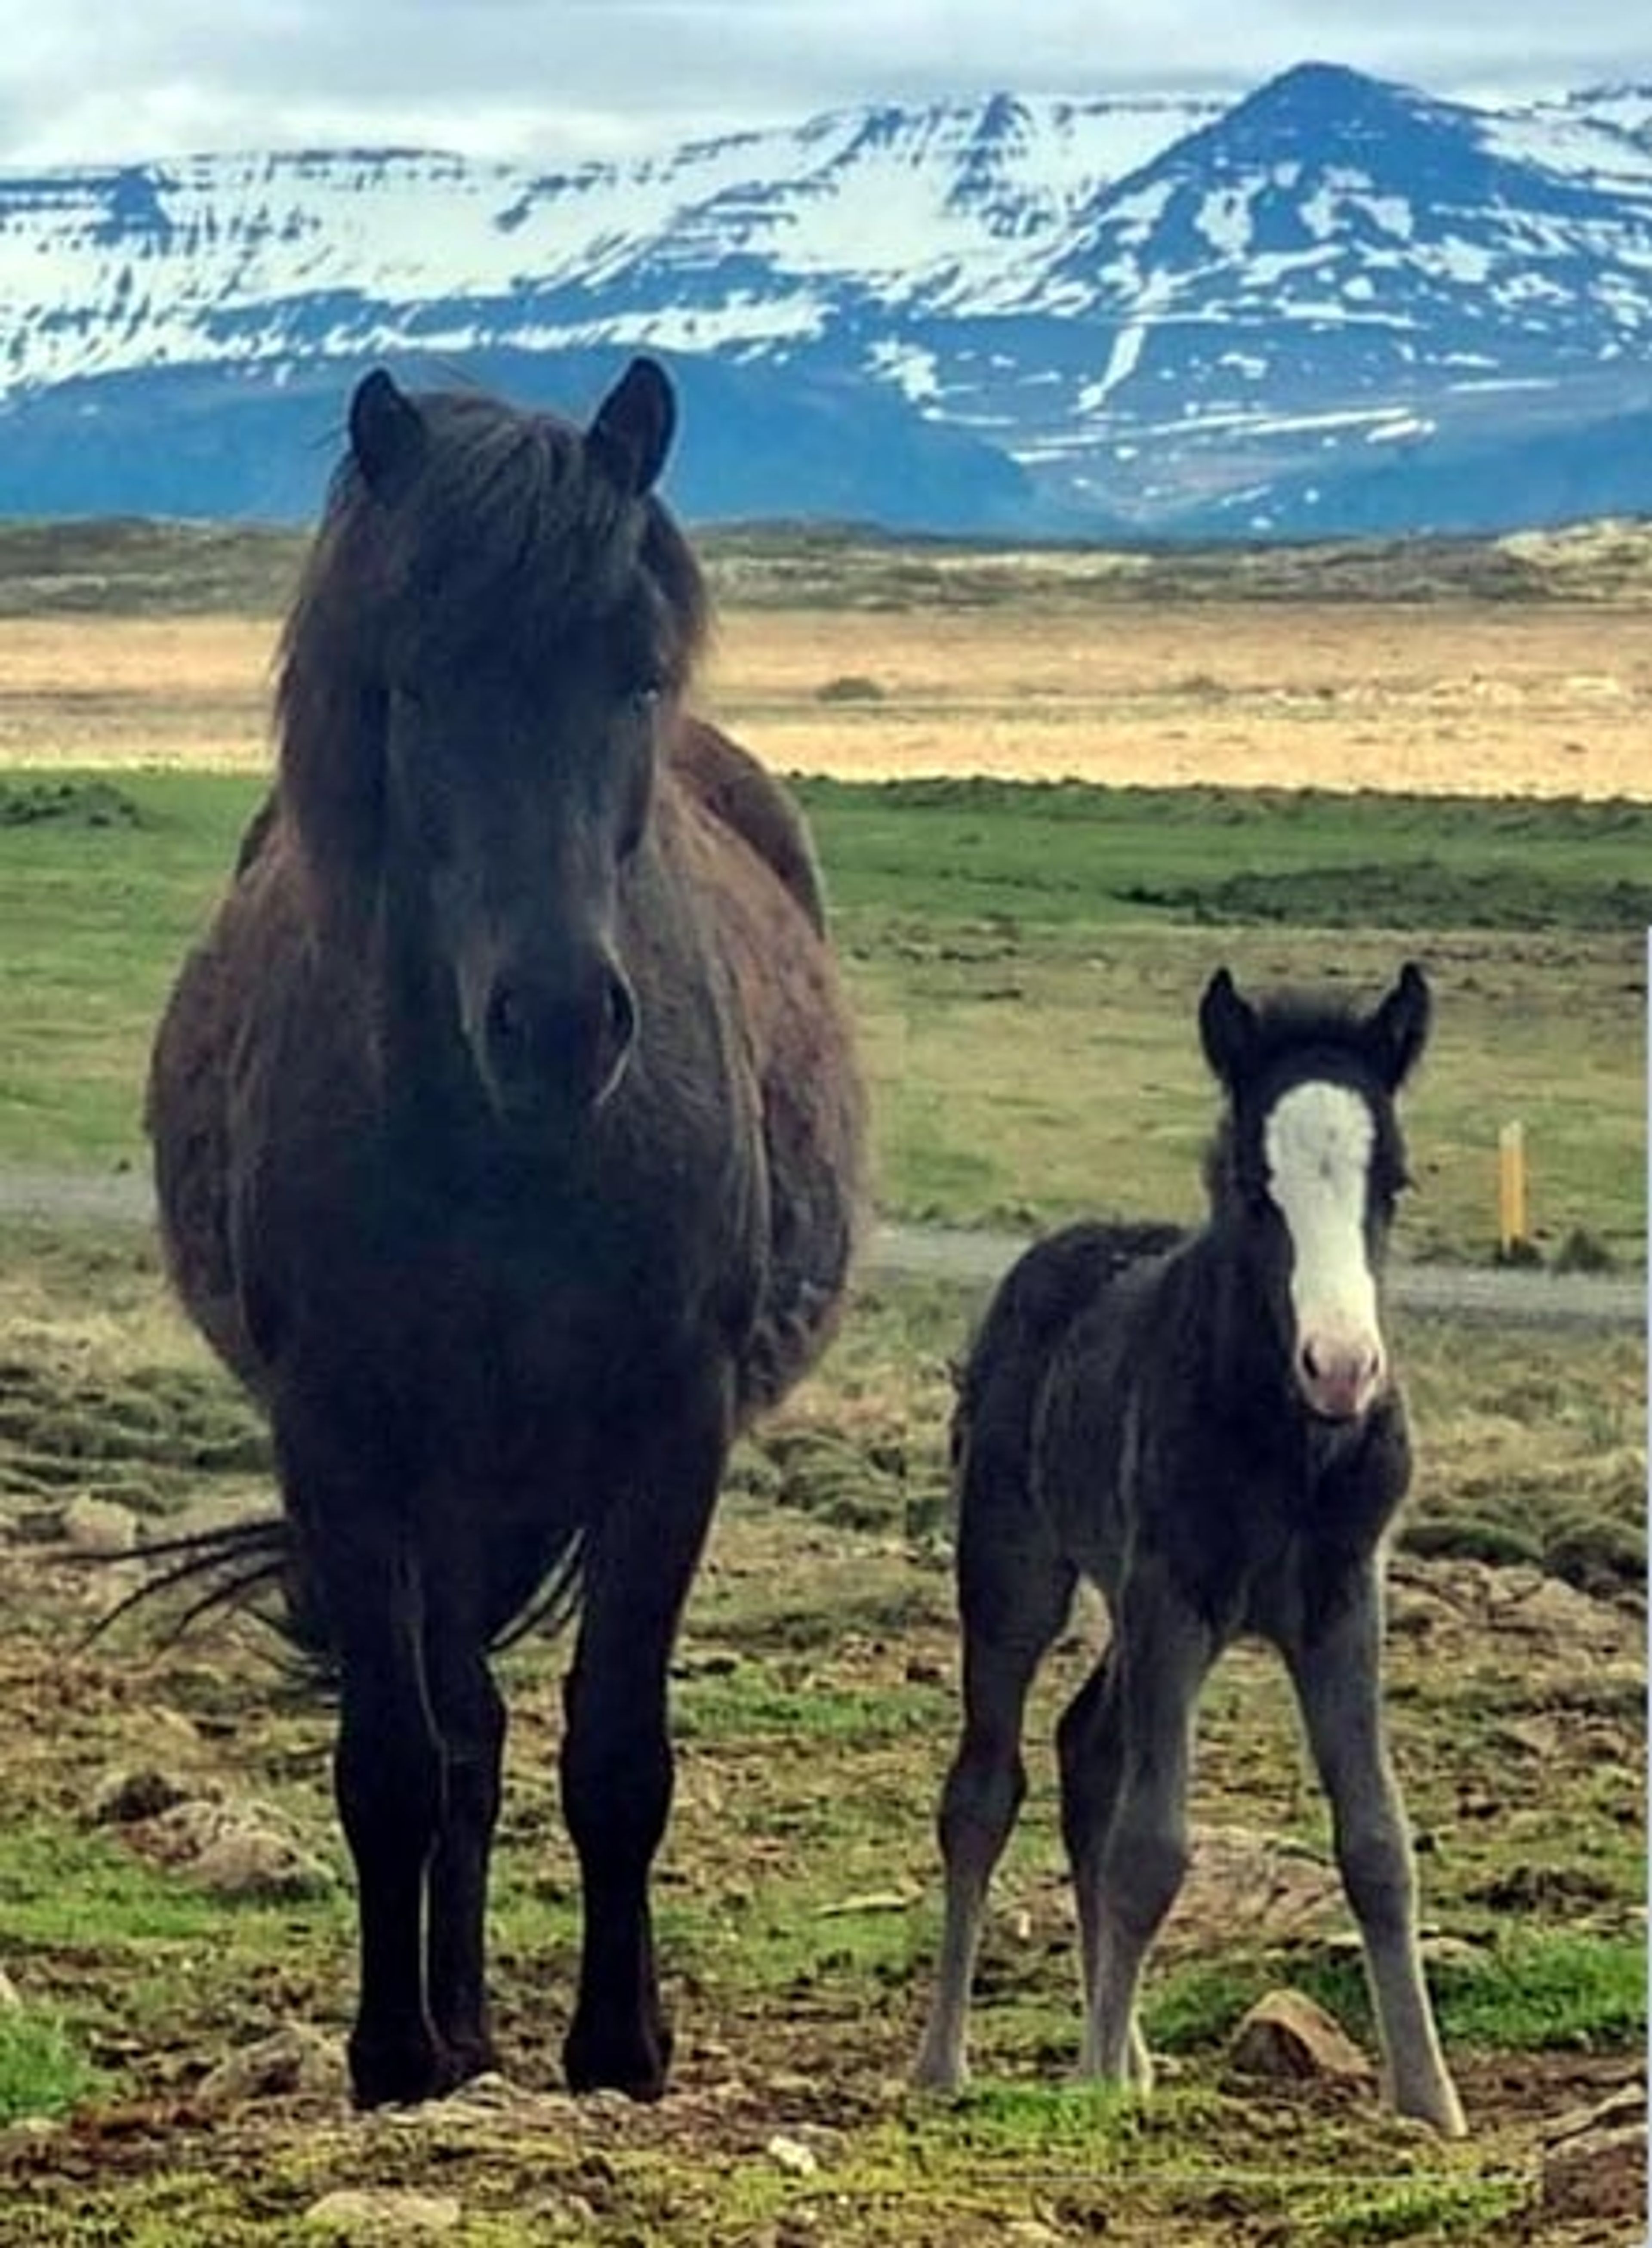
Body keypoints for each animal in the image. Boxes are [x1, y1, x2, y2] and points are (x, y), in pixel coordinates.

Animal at [145, 357, 868, 2110]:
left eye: (635, 674)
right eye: (413, 684)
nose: (555, 1021)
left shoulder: (672, 1423)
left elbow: (619, 1748)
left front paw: (620, 2041)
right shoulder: (344, 1436)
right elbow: (397, 1761)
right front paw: (398, 2045)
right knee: (461, 1729)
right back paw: (461, 2014)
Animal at [912, 962, 1465, 2137]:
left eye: (1392, 1182)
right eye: (1253, 1186)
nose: (1343, 1366)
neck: (1288, 1449)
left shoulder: (1342, 1600)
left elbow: (1377, 1842)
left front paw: (1429, 2099)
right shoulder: (1174, 1592)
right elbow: (1151, 1846)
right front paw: (1084, 2079)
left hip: (1131, 1607)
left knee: (1086, 1750)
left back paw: (1127, 2053)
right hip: (1021, 1573)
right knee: (985, 1787)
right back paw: (945, 2061)